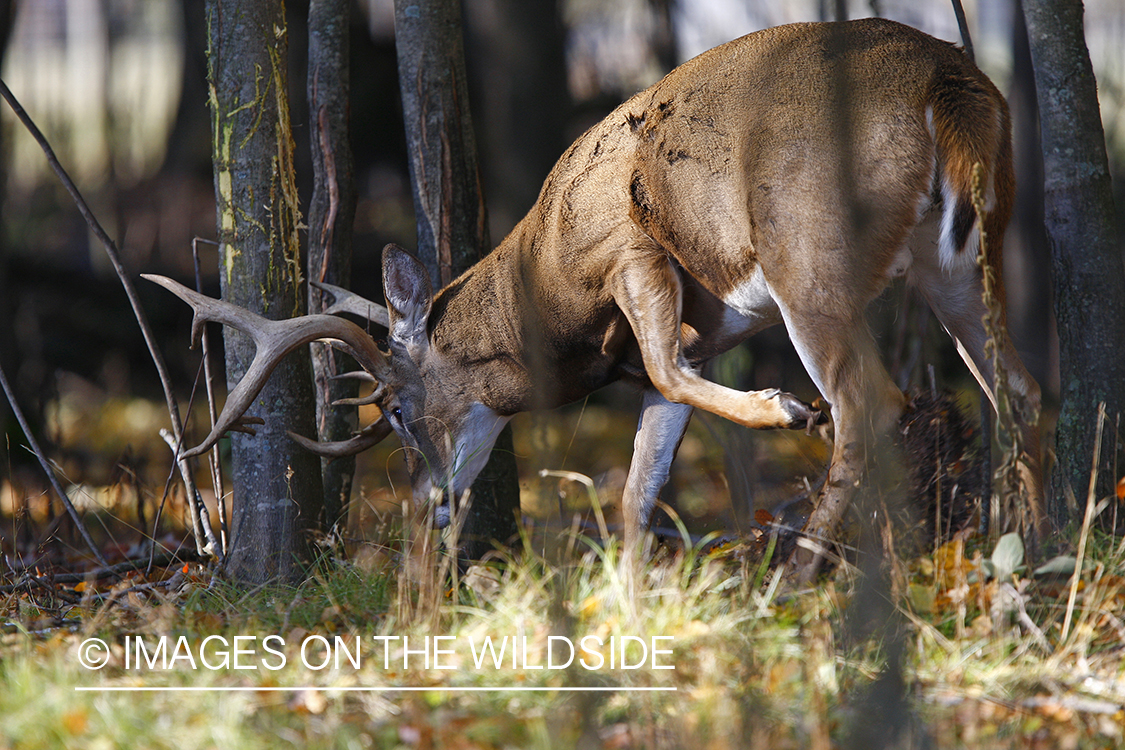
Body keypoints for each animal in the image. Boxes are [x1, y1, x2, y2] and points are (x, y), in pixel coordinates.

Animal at [145, 16, 1048, 580]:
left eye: (395, 412)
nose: (432, 505)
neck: (541, 294)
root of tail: (947, 78)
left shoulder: (629, 254)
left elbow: (667, 376)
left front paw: (783, 408)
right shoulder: (667, 362)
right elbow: (634, 490)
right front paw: (632, 600)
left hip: (806, 252)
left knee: (873, 404)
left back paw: (796, 572)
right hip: (966, 257)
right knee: (1021, 386)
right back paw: (1036, 545)